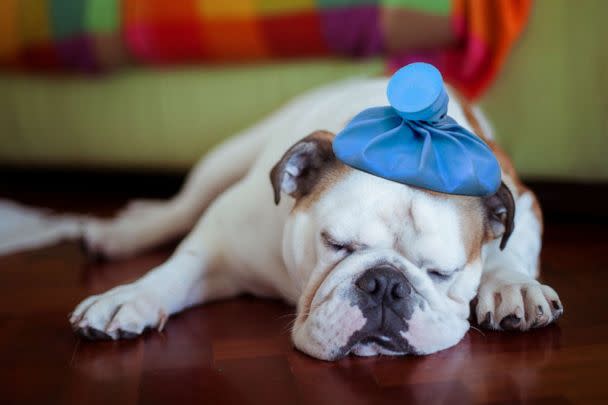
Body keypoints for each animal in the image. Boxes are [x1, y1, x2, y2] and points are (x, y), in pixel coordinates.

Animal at [69, 77, 564, 358]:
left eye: (442, 272)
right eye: (336, 244)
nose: (387, 285)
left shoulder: (520, 198)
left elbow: (508, 247)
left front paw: (512, 286)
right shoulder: (221, 244)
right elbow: (175, 270)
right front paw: (130, 297)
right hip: (227, 156)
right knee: (183, 206)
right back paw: (123, 232)